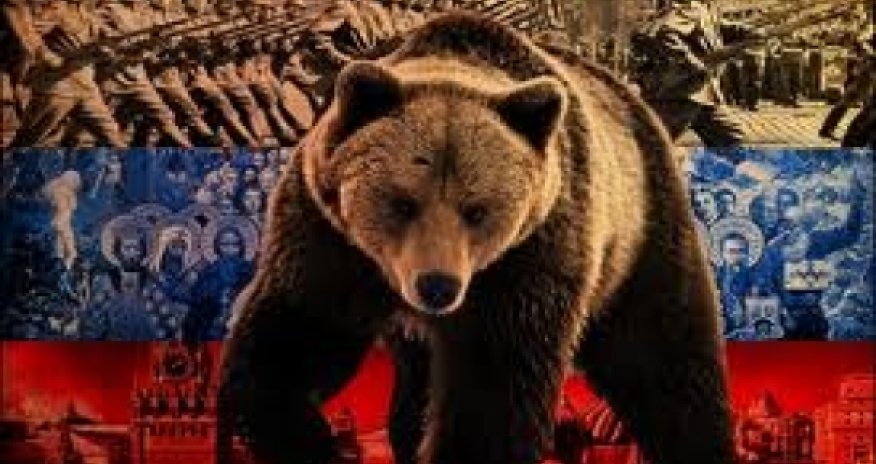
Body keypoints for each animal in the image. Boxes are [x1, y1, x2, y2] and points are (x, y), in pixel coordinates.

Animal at [218, 12, 734, 464]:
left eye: (477, 210)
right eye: (403, 202)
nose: (437, 286)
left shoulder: (530, 258)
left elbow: (494, 391)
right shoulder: (328, 243)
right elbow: (291, 342)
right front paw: (307, 439)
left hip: (639, 233)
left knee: (663, 361)